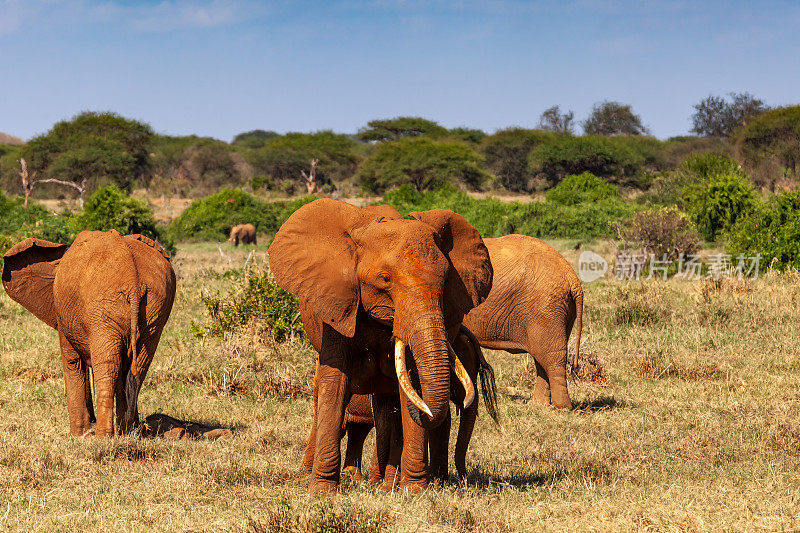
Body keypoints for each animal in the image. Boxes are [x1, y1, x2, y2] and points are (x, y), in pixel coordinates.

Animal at [1, 229, 177, 436]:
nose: (90, 422)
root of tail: (133, 281)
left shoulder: (64, 316)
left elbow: (72, 362)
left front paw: (78, 435)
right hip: (156, 307)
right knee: (137, 367)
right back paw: (126, 433)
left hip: (103, 308)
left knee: (109, 366)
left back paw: (103, 436)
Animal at [268, 200, 494, 494]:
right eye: (385, 279)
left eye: (445, 281)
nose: (464, 479)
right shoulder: (339, 305)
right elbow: (335, 384)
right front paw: (322, 492)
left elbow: (409, 386)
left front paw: (414, 491)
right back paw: (316, 476)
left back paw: (383, 483)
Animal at [462, 233, 580, 408]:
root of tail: (572, 276)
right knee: (542, 356)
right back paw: (538, 405)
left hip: (545, 307)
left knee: (552, 357)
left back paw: (561, 408)